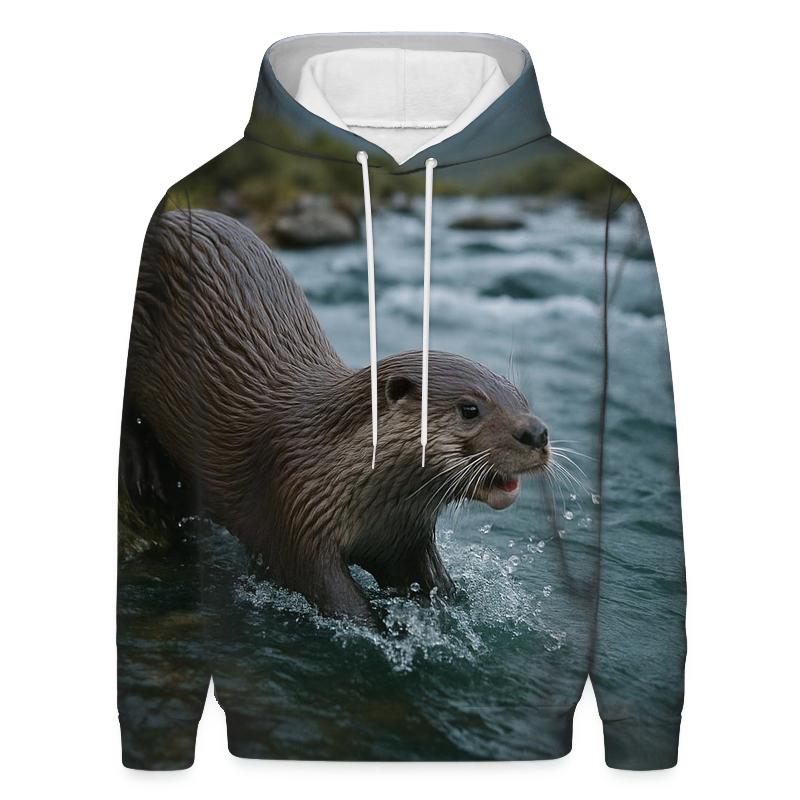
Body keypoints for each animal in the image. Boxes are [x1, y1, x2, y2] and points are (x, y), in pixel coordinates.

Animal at [122, 208, 549, 622]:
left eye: (522, 399)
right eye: (470, 409)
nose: (537, 433)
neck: (330, 466)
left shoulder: (404, 540)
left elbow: (432, 586)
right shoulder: (292, 516)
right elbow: (332, 598)